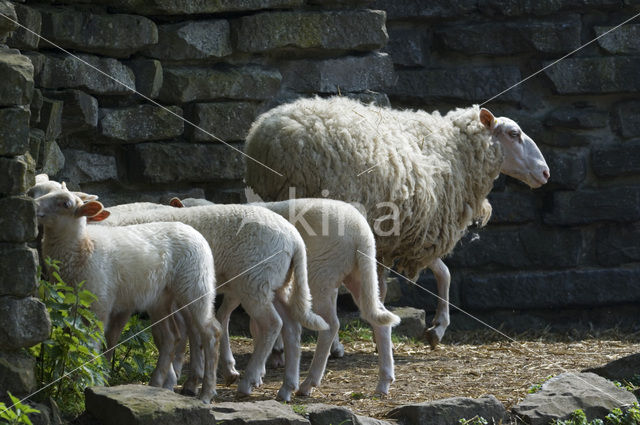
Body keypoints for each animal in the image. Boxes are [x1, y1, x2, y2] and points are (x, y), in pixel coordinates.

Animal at [35, 188, 221, 400]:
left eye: (65, 204)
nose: (34, 205)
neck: (83, 248)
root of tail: (194, 231)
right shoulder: (70, 306)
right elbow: (74, 340)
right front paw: (71, 380)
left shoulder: (99, 303)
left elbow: (91, 343)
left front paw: (84, 384)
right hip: (160, 298)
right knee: (170, 337)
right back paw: (156, 385)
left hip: (195, 283)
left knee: (211, 332)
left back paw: (206, 393)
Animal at [94, 200, 330, 400]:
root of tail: (295, 239)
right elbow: (184, 332)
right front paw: (186, 378)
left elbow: (149, 336)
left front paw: (171, 378)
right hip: (276, 284)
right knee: (291, 328)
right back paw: (287, 388)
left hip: (255, 281)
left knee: (272, 325)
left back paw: (248, 382)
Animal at [170, 195, 400, 394]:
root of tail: (361, 231)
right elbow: (230, 319)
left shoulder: (246, 284)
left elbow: (236, 321)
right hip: (358, 273)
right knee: (377, 317)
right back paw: (384, 382)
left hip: (319, 276)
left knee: (331, 325)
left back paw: (308, 383)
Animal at [245, 97, 552, 348]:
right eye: (514, 134)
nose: (546, 173)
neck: (455, 152)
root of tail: (266, 140)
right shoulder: (423, 229)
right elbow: (441, 274)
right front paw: (431, 328)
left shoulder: (406, 235)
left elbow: (434, 275)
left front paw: (420, 330)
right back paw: (326, 345)